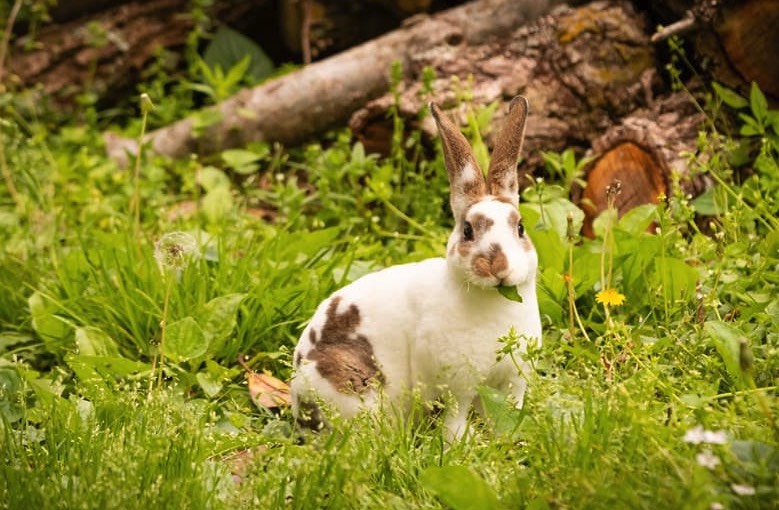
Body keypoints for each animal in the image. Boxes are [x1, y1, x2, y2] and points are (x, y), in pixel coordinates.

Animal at [290, 95, 544, 438]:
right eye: (467, 230)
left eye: (520, 228)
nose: (498, 266)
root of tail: (296, 401)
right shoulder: (457, 384)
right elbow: (456, 415)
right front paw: (460, 441)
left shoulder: (515, 378)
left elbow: (511, 406)